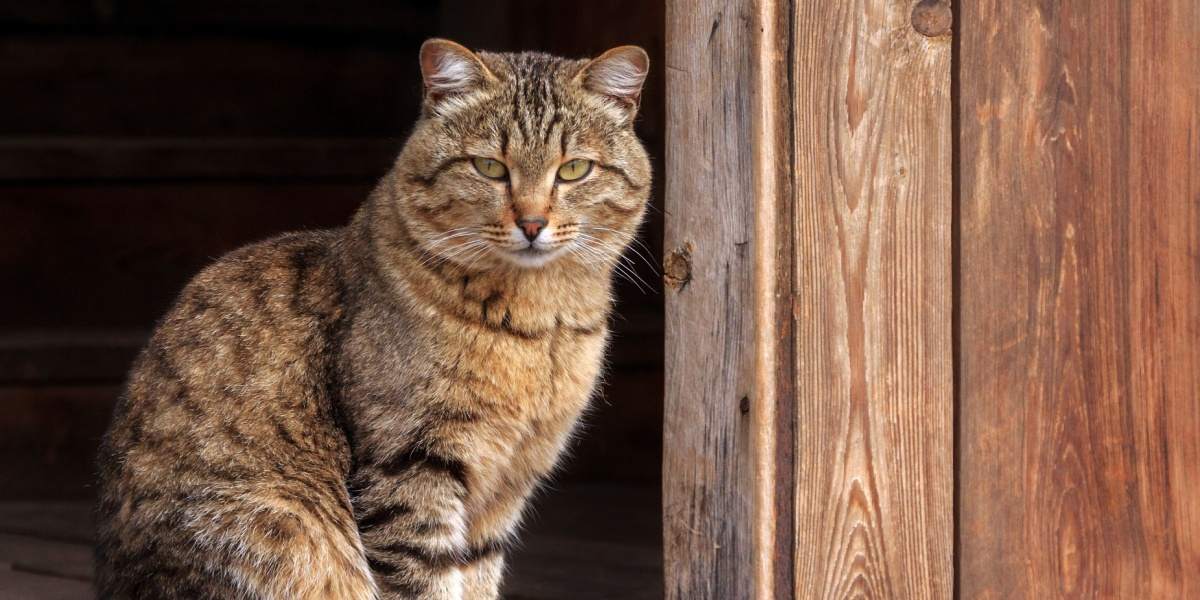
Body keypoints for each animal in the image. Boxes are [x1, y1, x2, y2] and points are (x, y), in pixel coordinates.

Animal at [94, 39, 652, 597]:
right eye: (489, 168)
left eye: (574, 169)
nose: (533, 223)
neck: (539, 326)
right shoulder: (409, 463)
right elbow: (424, 579)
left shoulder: (510, 481)